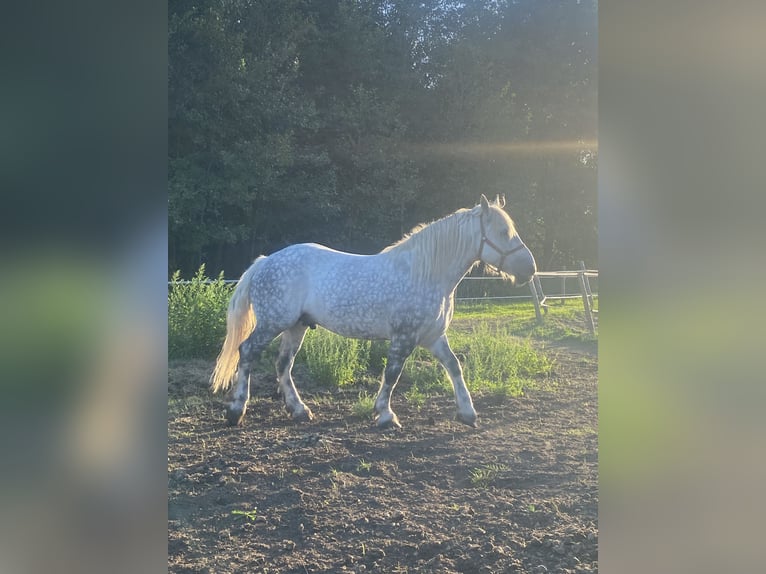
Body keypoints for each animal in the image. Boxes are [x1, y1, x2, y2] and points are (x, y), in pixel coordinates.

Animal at [210, 195, 537, 429]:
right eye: (502, 231)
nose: (529, 269)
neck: (425, 273)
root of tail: (265, 261)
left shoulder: (433, 336)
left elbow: (454, 367)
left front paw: (468, 414)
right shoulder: (404, 337)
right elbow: (392, 374)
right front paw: (385, 415)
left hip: (296, 325)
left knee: (283, 365)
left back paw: (300, 410)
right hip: (272, 323)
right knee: (247, 352)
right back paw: (236, 411)